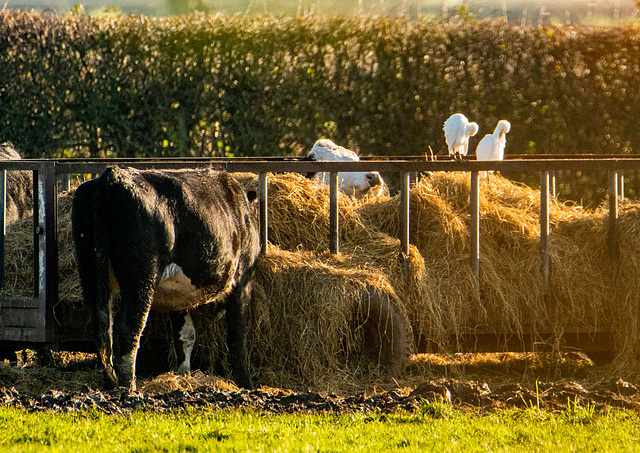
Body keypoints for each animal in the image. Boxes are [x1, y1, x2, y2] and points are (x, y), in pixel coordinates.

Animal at [74, 165, 262, 388]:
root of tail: (113, 175)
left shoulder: (179, 295)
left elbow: (185, 336)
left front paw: (182, 375)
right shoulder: (242, 281)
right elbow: (237, 338)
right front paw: (246, 383)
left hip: (90, 272)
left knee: (102, 325)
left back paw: (110, 381)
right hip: (142, 277)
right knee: (128, 328)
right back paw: (129, 386)